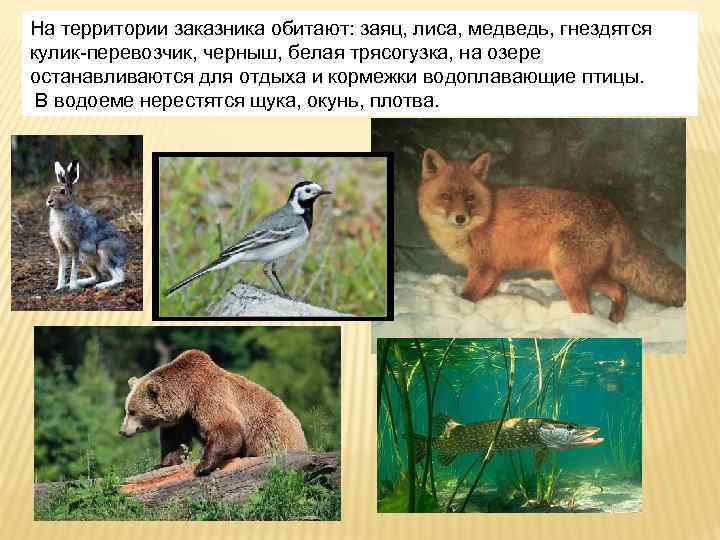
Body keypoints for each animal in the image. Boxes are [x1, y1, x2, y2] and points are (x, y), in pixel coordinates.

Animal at [46, 160, 127, 291]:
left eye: (63, 191)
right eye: (51, 190)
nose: (49, 201)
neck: (61, 210)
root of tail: (124, 256)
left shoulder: (74, 245)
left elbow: (73, 268)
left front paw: (72, 287)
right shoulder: (62, 248)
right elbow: (61, 268)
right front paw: (59, 287)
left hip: (105, 250)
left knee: (119, 277)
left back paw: (101, 286)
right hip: (86, 258)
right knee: (98, 276)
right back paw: (81, 283)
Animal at [119, 349, 309, 476]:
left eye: (132, 411)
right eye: (127, 409)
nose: (122, 431)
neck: (187, 397)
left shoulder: (207, 395)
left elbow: (225, 428)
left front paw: (202, 466)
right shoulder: (182, 420)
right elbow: (176, 443)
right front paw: (161, 465)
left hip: (270, 433)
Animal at [417, 148, 686, 322]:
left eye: (470, 198)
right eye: (446, 196)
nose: (460, 218)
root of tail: (609, 207)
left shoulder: (483, 268)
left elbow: (467, 297)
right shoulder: (495, 270)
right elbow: (485, 295)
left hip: (566, 274)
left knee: (586, 309)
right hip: (588, 274)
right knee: (621, 290)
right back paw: (614, 321)